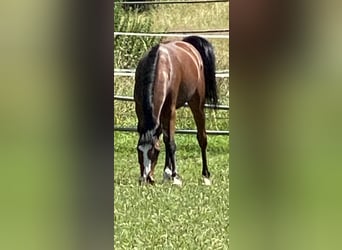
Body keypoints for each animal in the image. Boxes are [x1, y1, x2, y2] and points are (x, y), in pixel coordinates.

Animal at [134, 35, 218, 186]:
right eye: (139, 150)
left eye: (155, 151)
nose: (146, 178)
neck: (161, 68)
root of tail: (186, 43)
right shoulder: (140, 108)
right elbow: (165, 140)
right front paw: (167, 174)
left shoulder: (170, 110)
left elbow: (171, 143)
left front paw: (175, 176)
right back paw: (166, 173)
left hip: (197, 104)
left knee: (201, 138)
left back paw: (205, 174)